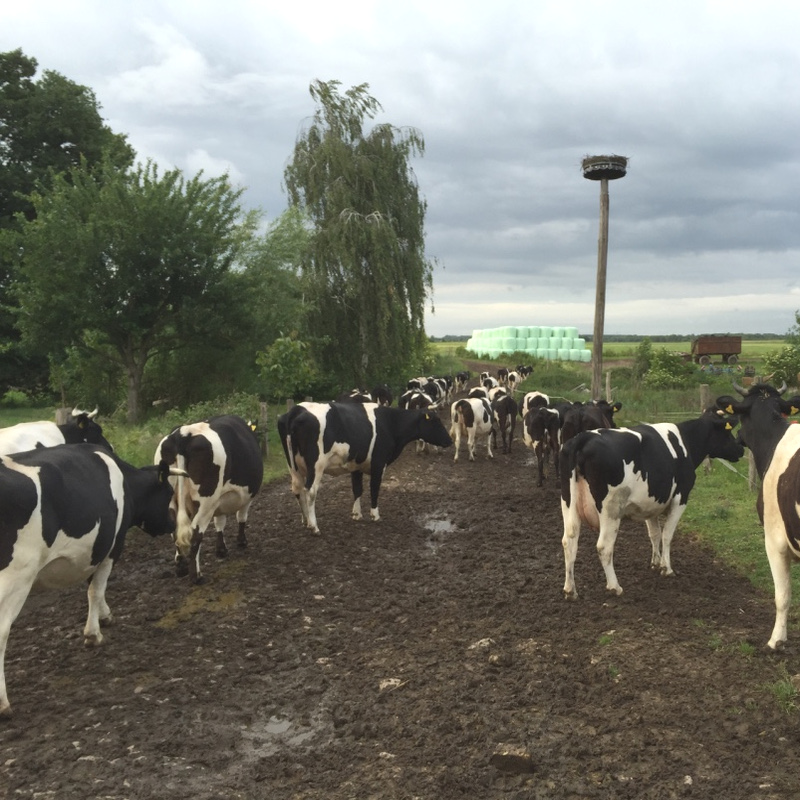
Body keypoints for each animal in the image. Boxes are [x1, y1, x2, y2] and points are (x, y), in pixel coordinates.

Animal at [0, 444, 183, 720]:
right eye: (169, 492)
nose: (171, 525)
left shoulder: (97, 547)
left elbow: (92, 586)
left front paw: (105, 616)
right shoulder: (112, 547)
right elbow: (95, 589)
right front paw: (93, 634)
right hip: (16, 578)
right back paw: (4, 704)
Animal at [152, 418, 260, 580]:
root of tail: (183, 433)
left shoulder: (219, 502)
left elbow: (220, 522)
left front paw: (221, 549)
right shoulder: (247, 496)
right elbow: (241, 517)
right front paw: (241, 542)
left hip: (171, 501)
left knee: (175, 532)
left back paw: (181, 568)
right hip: (206, 501)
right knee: (195, 534)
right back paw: (196, 576)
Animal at [276, 404, 450, 536]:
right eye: (436, 422)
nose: (449, 440)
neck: (390, 423)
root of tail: (297, 409)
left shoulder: (356, 465)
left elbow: (357, 489)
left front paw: (357, 514)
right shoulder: (379, 464)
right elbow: (374, 489)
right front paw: (375, 515)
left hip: (293, 466)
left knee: (297, 489)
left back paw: (306, 521)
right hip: (316, 464)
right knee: (310, 491)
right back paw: (314, 526)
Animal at [560, 410, 740, 596]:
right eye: (728, 432)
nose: (740, 448)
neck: (686, 443)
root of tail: (585, 437)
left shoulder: (650, 504)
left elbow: (654, 534)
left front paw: (655, 562)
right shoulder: (681, 498)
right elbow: (667, 534)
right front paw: (666, 568)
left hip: (568, 502)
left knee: (569, 541)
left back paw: (570, 590)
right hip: (611, 508)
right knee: (604, 546)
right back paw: (614, 586)